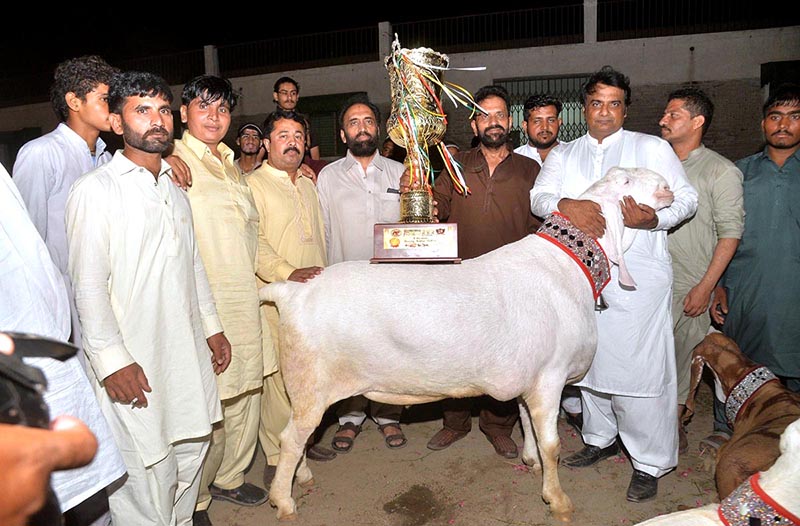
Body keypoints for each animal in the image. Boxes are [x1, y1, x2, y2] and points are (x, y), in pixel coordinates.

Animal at [262, 167, 676, 520]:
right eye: (625, 180)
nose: (666, 185)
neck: (567, 267)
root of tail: (291, 292)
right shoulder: (551, 376)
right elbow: (552, 444)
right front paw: (558, 500)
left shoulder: (529, 375)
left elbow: (526, 422)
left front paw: (529, 460)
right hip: (311, 382)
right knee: (291, 437)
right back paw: (284, 500)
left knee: (296, 435)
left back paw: (302, 477)